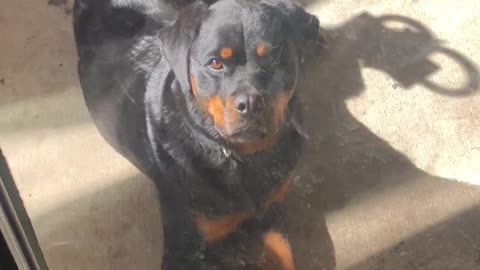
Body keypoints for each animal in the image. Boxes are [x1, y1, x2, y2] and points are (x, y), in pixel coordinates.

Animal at [74, 0, 322, 268]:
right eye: (215, 63)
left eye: (275, 57)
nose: (250, 103)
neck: (238, 156)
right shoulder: (182, 246)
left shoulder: (270, 211)